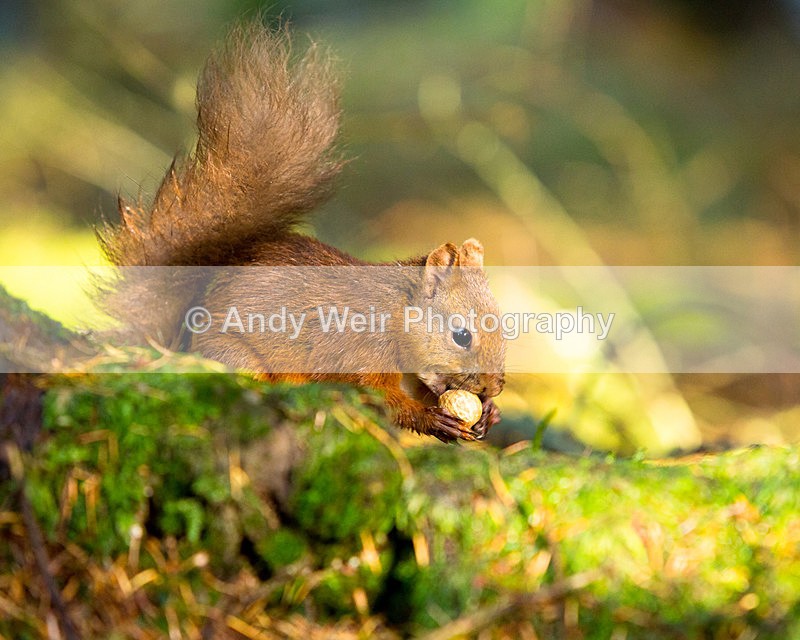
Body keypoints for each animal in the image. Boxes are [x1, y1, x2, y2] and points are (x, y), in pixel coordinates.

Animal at [97, 22, 505, 443]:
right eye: (461, 336)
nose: (494, 387)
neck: (394, 313)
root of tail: (178, 339)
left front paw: (488, 414)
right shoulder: (361, 352)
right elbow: (380, 398)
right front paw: (433, 418)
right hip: (236, 357)